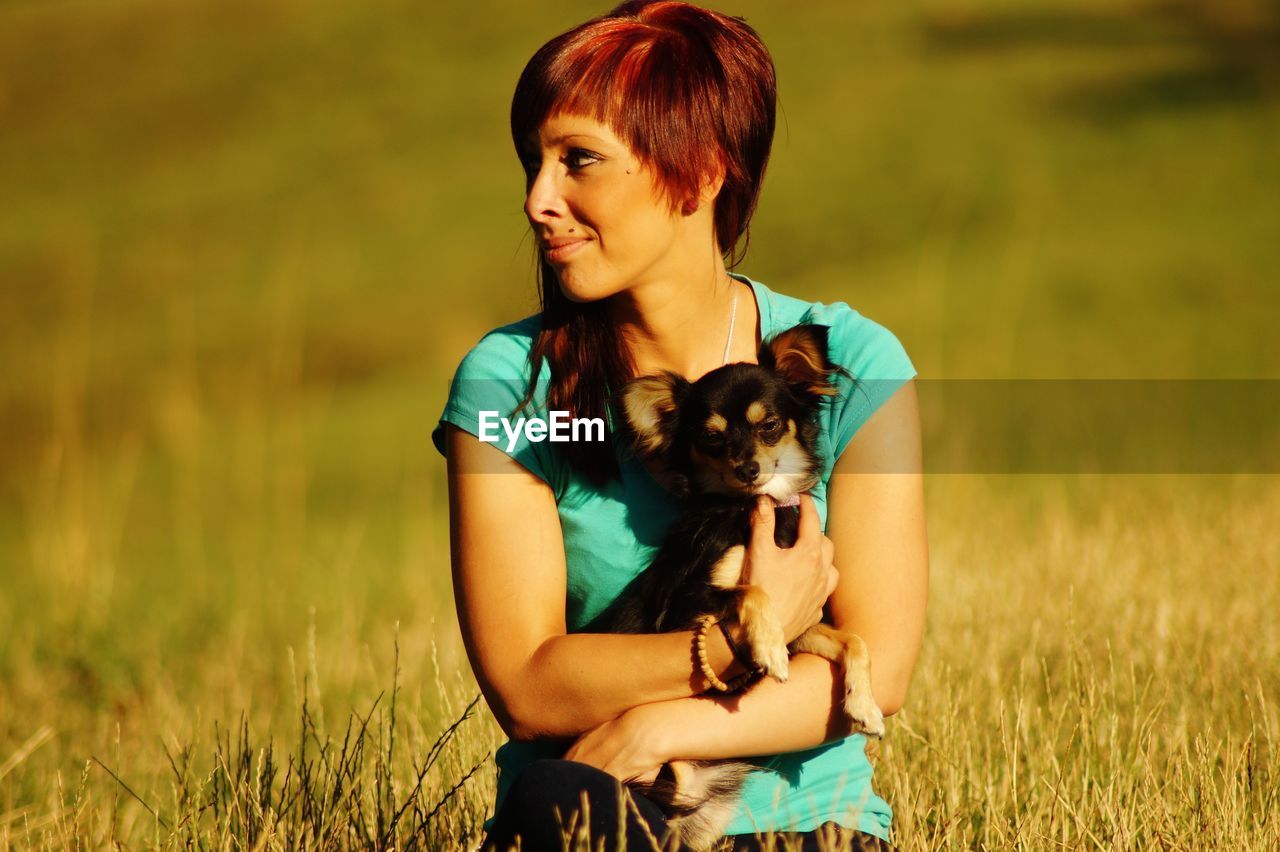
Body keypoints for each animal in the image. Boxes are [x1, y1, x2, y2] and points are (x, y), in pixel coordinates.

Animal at [586, 322, 880, 844]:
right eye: (711, 438)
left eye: (770, 426)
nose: (748, 468)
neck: (749, 507)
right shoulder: (683, 606)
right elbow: (752, 590)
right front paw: (768, 650)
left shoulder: (803, 622)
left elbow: (853, 640)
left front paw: (864, 705)